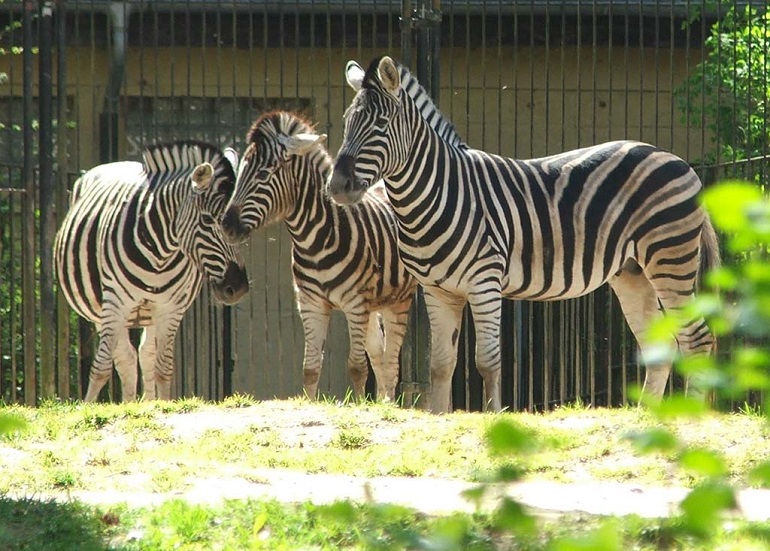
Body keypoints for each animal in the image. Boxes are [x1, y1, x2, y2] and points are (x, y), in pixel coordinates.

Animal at [54, 141, 250, 403]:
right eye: (208, 220)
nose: (238, 287)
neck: (159, 254)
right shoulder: (114, 301)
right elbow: (101, 368)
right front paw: (87, 407)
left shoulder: (171, 307)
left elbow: (163, 368)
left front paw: (164, 406)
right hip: (102, 312)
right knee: (124, 359)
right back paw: (128, 404)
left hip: (149, 312)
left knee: (144, 353)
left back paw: (145, 403)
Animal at [220, 110, 416, 401]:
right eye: (241, 171)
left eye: (264, 173)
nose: (226, 226)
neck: (315, 240)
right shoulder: (310, 304)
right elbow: (310, 369)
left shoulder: (355, 304)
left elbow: (357, 368)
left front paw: (360, 407)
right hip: (373, 304)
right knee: (380, 357)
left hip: (398, 300)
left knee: (390, 364)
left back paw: (387, 405)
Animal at [327, 56, 720, 413]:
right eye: (347, 123)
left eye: (380, 123)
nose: (337, 186)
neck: (439, 192)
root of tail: (673, 157)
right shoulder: (438, 292)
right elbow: (440, 366)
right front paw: (440, 417)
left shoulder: (484, 283)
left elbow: (487, 362)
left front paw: (493, 417)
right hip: (632, 273)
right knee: (661, 347)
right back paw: (647, 419)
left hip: (670, 258)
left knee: (697, 339)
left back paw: (690, 417)